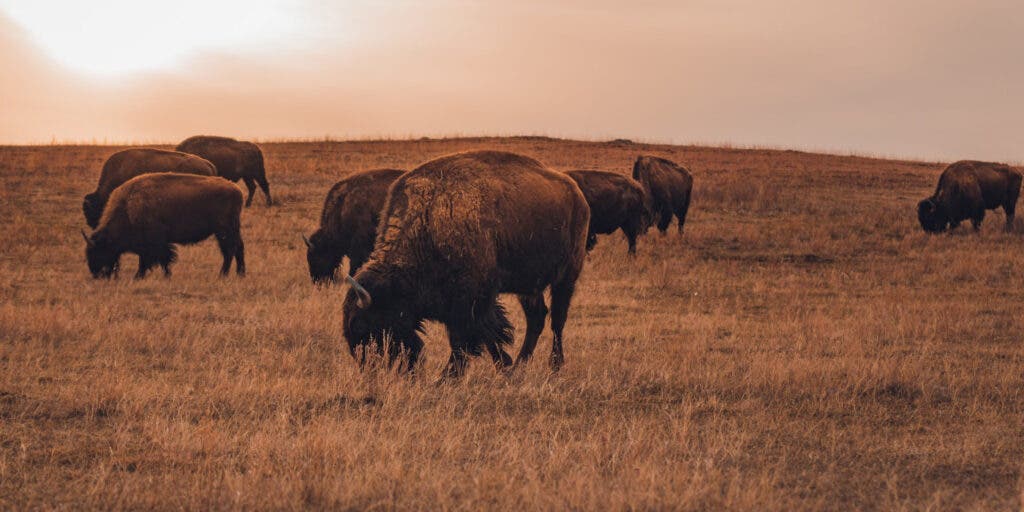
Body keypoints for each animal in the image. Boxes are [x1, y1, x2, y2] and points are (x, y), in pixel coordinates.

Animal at [82, 173, 245, 278]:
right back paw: (240, 274)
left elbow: (159, 258)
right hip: (230, 229)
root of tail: (236, 190)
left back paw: (222, 275)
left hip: (224, 230)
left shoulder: (155, 242)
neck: (128, 207)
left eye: (99, 251)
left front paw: (144, 276)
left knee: (229, 250)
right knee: (238, 247)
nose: (96, 274)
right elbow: (154, 259)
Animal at [342, 149, 589, 378]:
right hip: (528, 285)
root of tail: (577, 194)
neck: (429, 221)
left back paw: (555, 366)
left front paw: (446, 377)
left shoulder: (470, 299)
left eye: (364, 325)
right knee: (536, 318)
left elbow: (466, 338)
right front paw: (504, 367)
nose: (369, 368)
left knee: (557, 319)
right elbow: (487, 333)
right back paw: (520, 365)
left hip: (567, 276)